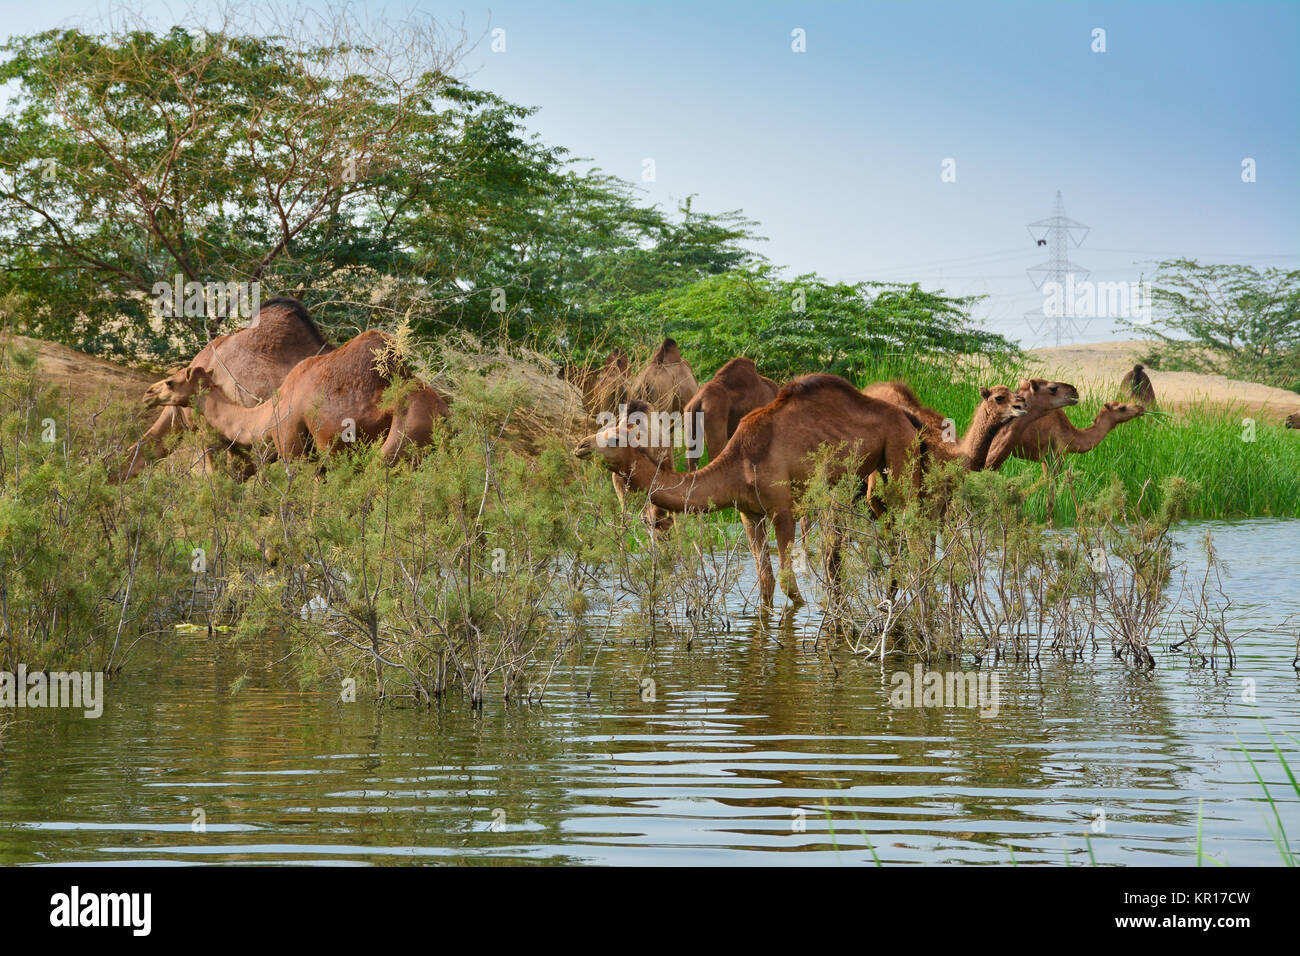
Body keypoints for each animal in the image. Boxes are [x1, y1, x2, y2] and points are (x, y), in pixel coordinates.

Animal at [145, 329, 449, 468]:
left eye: (171, 382)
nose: (149, 394)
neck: (269, 412)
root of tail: (445, 411)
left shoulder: (291, 445)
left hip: (405, 434)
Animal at [574, 374, 930, 606]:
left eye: (614, 438)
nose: (581, 446)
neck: (739, 464)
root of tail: (908, 418)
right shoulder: (749, 513)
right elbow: (766, 580)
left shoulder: (783, 511)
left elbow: (788, 581)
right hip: (870, 477)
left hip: (900, 452)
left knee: (911, 534)